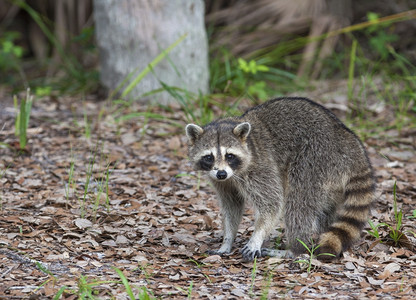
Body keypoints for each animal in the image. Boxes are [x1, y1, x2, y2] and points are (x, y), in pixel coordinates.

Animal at [185, 97, 374, 262]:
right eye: (209, 157)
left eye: (229, 155)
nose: (222, 173)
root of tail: (351, 142)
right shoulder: (222, 181)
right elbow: (232, 206)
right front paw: (227, 240)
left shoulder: (260, 165)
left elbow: (271, 204)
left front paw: (256, 237)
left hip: (316, 158)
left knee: (298, 203)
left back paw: (295, 249)